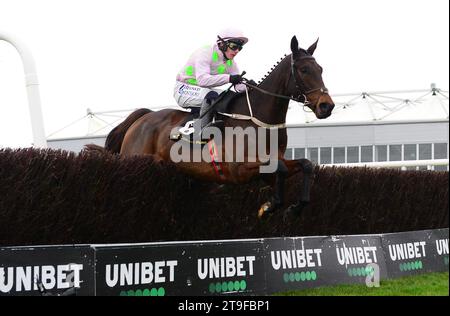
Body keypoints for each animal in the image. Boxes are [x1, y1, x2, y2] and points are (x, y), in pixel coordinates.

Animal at [88, 35, 334, 218]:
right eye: (304, 70)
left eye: (321, 69)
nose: (327, 106)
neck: (258, 118)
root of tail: (143, 118)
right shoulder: (238, 169)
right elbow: (281, 169)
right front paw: (268, 206)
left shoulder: (272, 165)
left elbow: (306, 165)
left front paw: (295, 207)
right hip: (135, 160)